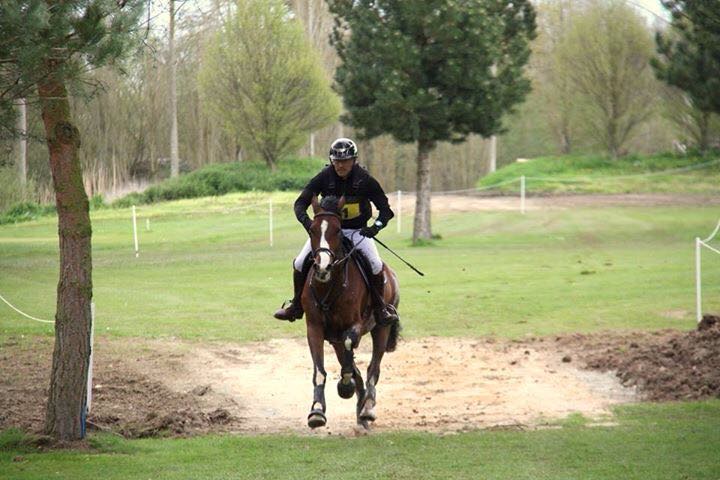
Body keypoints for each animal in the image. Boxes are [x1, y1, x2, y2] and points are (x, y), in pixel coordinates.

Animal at [302, 195, 402, 432]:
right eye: (312, 229)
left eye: (338, 230)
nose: (322, 267)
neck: (329, 285)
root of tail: (391, 273)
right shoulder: (315, 328)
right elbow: (320, 370)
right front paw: (317, 411)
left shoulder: (354, 325)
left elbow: (350, 351)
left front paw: (345, 386)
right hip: (335, 338)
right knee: (353, 365)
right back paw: (361, 409)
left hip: (381, 328)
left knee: (373, 368)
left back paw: (368, 408)